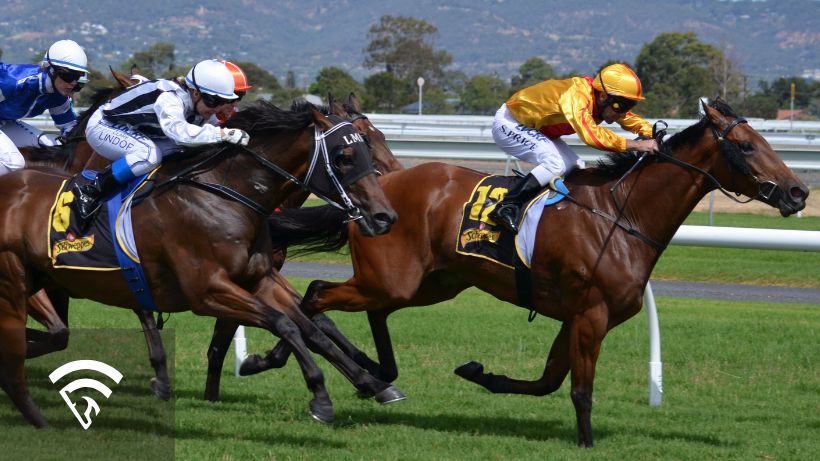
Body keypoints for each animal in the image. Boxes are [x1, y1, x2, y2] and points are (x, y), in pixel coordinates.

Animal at [0, 98, 402, 428]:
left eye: (371, 143)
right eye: (344, 156)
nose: (385, 216)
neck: (228, 196)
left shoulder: (261, 279)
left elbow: (311, 326)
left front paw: (372, 382)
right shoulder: (207, 291)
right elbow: (284, 324)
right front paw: (318, 397)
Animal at [240, 99, 804, 446]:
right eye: (748, 147)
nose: (798, 192)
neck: (622, 216)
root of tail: (369, 197)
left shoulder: (575, 316)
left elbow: (548, 382)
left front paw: (480, 373)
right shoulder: (592, 314)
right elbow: (578, 389)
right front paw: (587, 442)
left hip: (429, 284)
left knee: (365, 309)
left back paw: (373, 376)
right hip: (392, 277)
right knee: (316, 294)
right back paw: (282, 363)